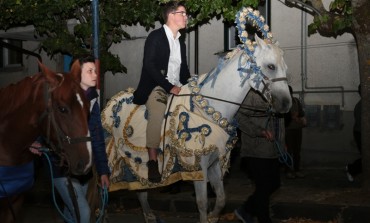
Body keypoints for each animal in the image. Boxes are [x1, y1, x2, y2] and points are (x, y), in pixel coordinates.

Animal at [101, 6, 292, 223]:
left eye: (284, 67)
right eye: (270, 66)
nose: (286, 104)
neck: (209, 108)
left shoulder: (214, 163)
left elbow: (221, 199)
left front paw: (214, 217)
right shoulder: (197, 165)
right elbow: (201, 203)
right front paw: (207, 215)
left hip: (133, 164)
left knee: (141, 190)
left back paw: (149, 216)